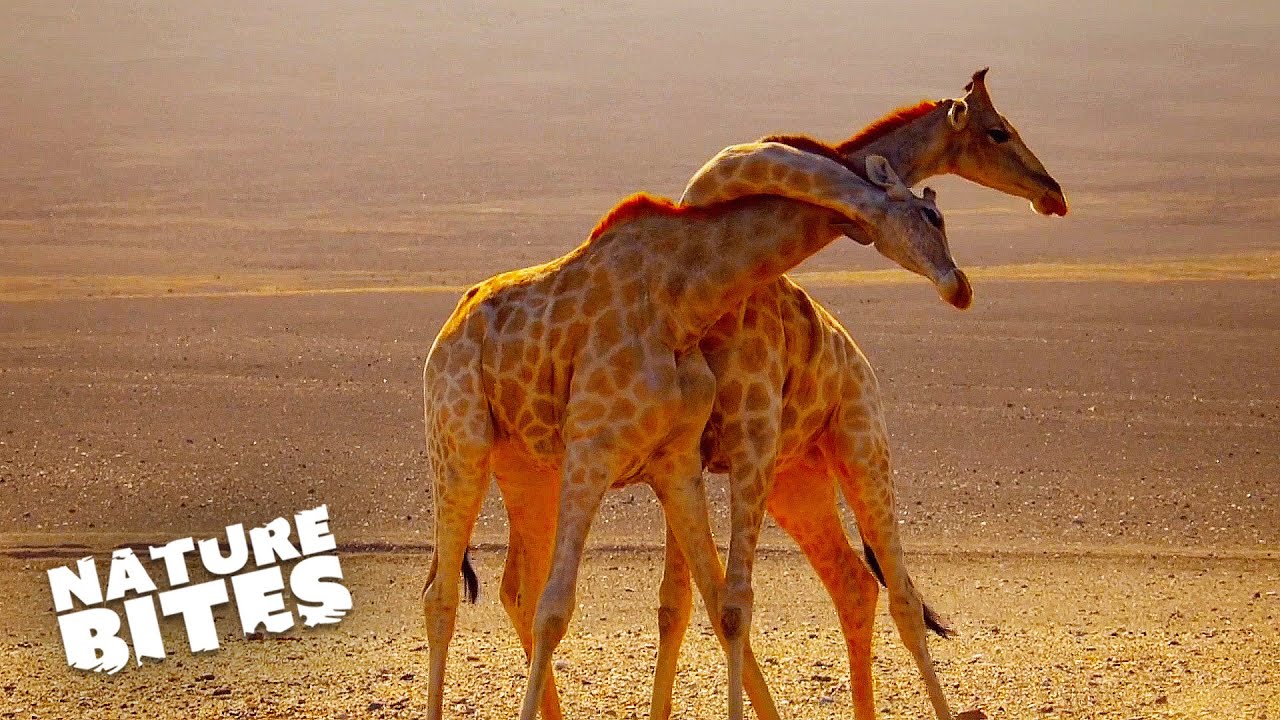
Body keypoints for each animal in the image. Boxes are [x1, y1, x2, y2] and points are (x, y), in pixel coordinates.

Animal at [420, 143, 966, 720]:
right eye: (932, 214)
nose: (959, 285)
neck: (682, 294)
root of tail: (450, 325)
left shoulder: (677, 464)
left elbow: (712, 597)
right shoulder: (593, 451)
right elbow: (559, 607)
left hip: (531, 469)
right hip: (460, 445)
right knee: (444, 595)